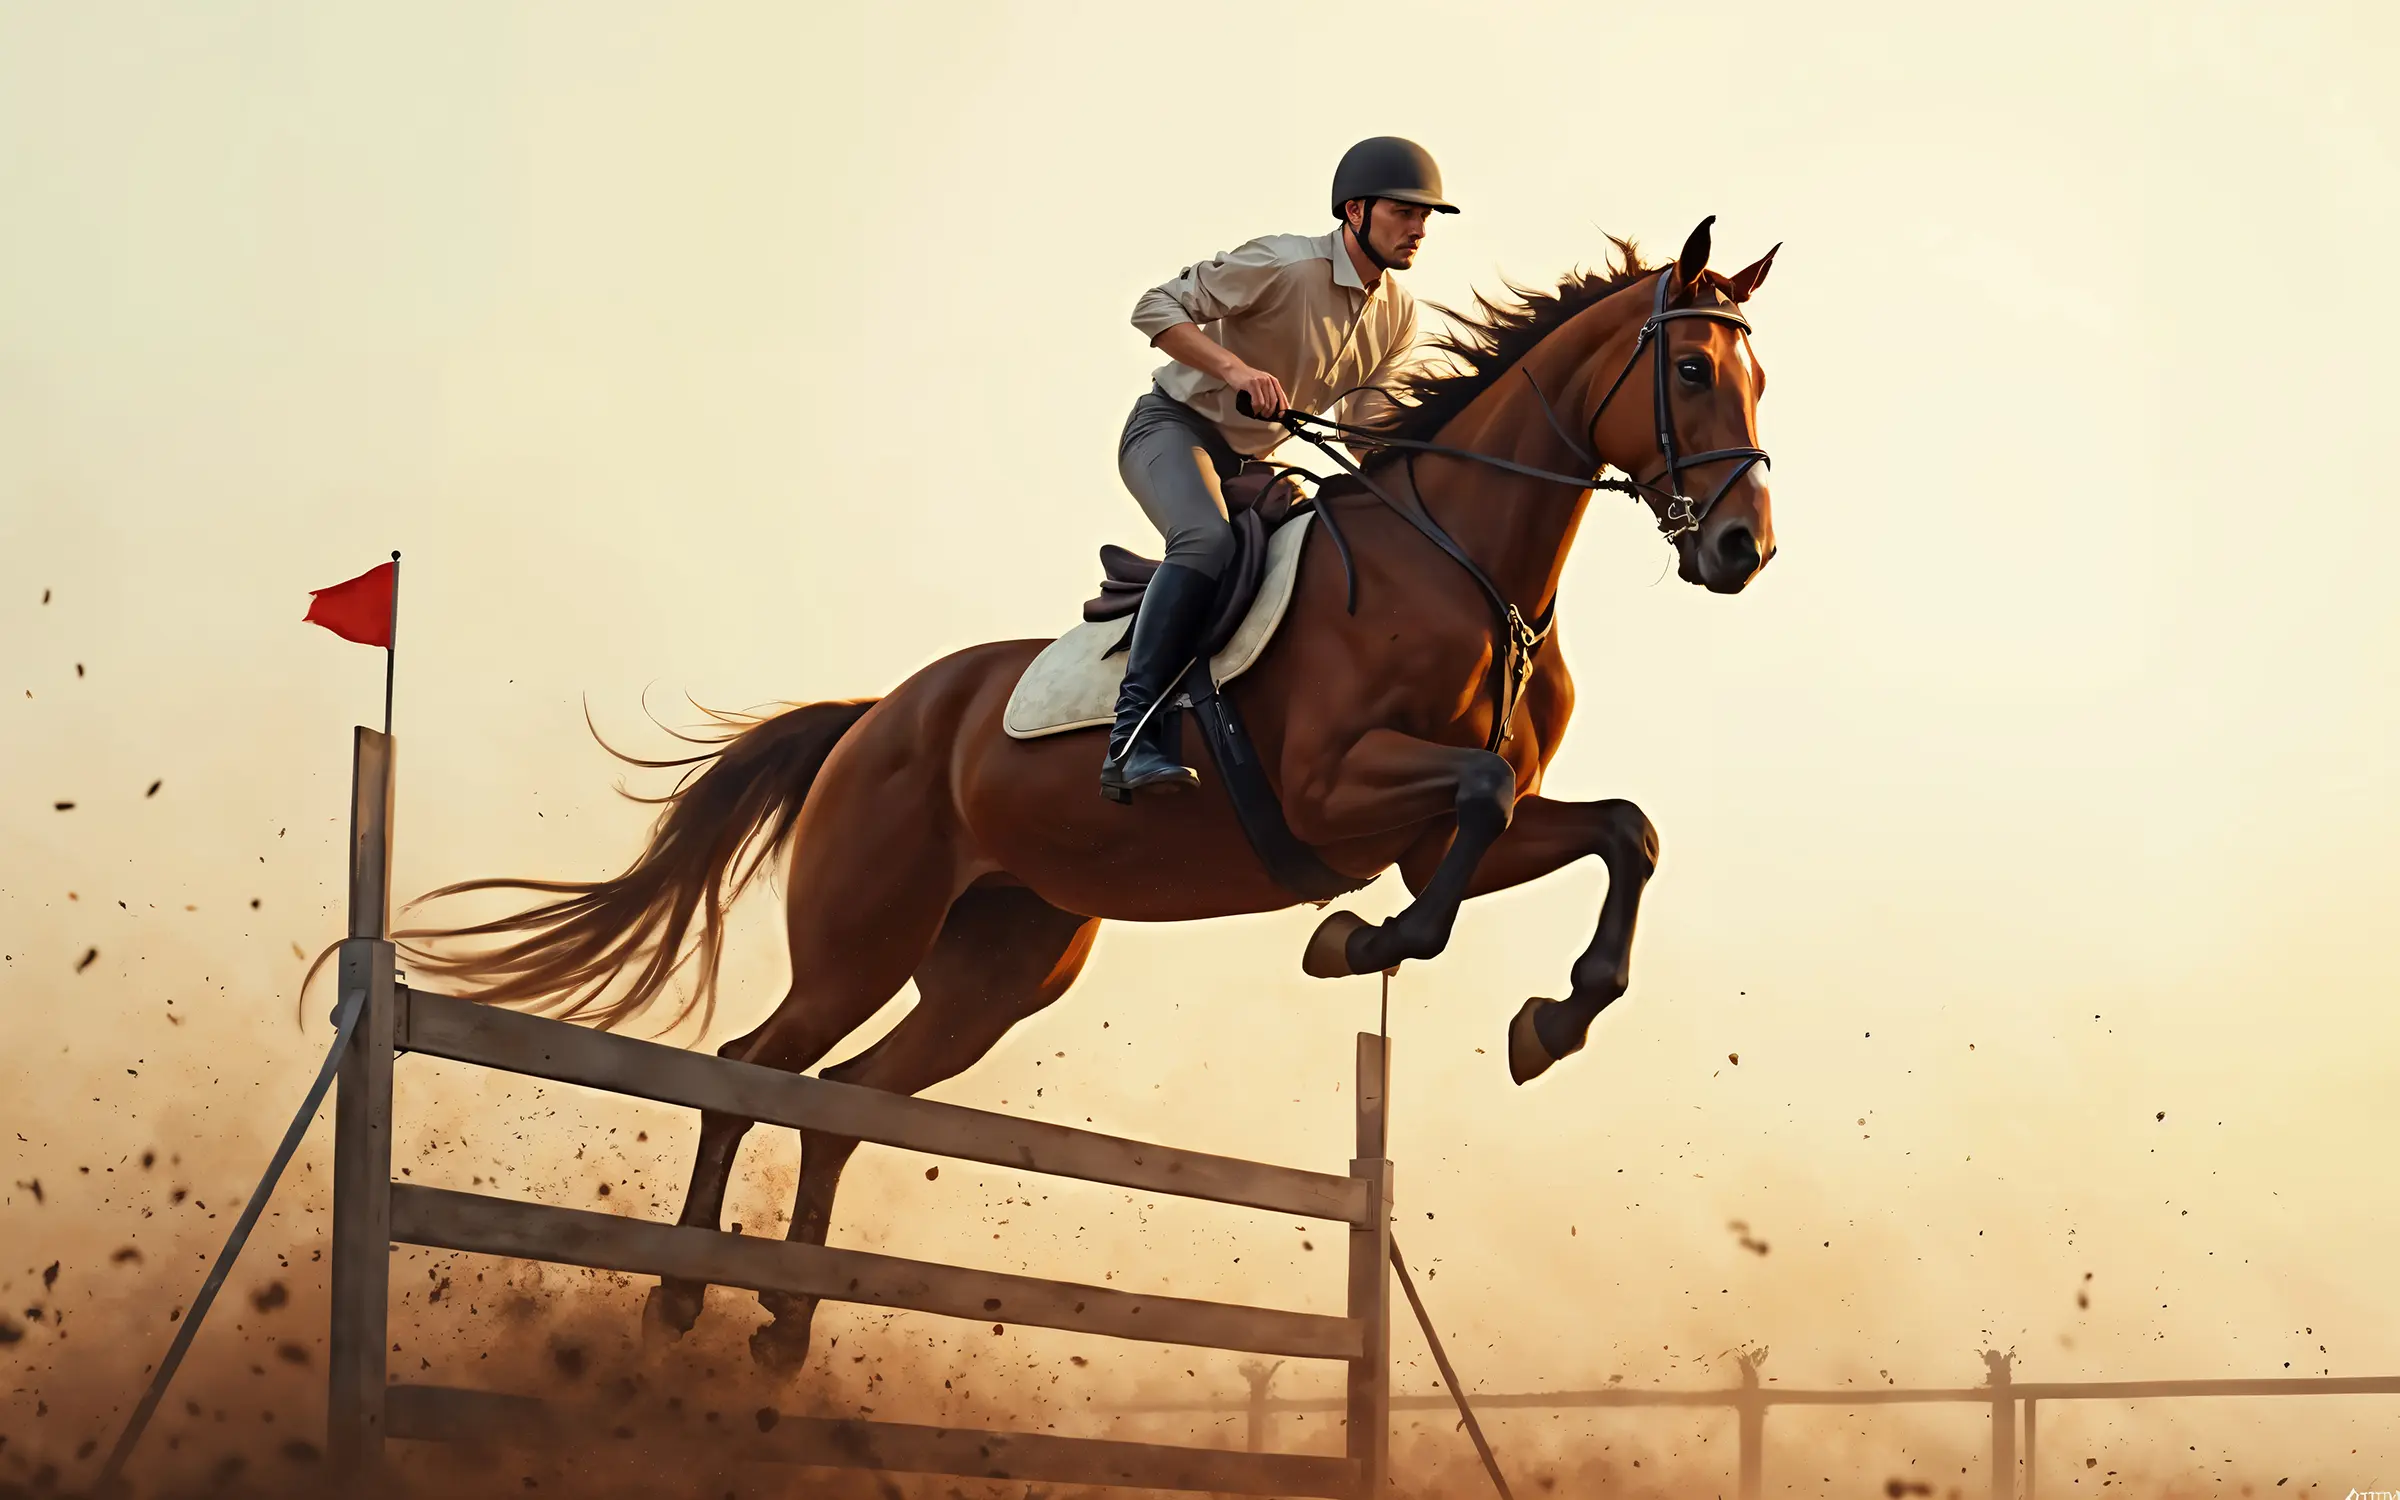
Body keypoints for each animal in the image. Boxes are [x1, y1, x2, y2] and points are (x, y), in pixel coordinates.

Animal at [402, 216, 1779, 1371]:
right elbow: (1483, 801)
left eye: (1759, 379)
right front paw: (1356, 944)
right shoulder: (1342, 793)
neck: (1466, 573)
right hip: (863, 940)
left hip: (999, 970)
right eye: (1691, 371)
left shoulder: (1431, 831)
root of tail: (877, 718)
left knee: (841, 1104)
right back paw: (681, 1298)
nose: (1742, 551)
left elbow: (1624, 832)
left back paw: (785, 1330)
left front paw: (1554, 1021)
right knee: (753, 1071)